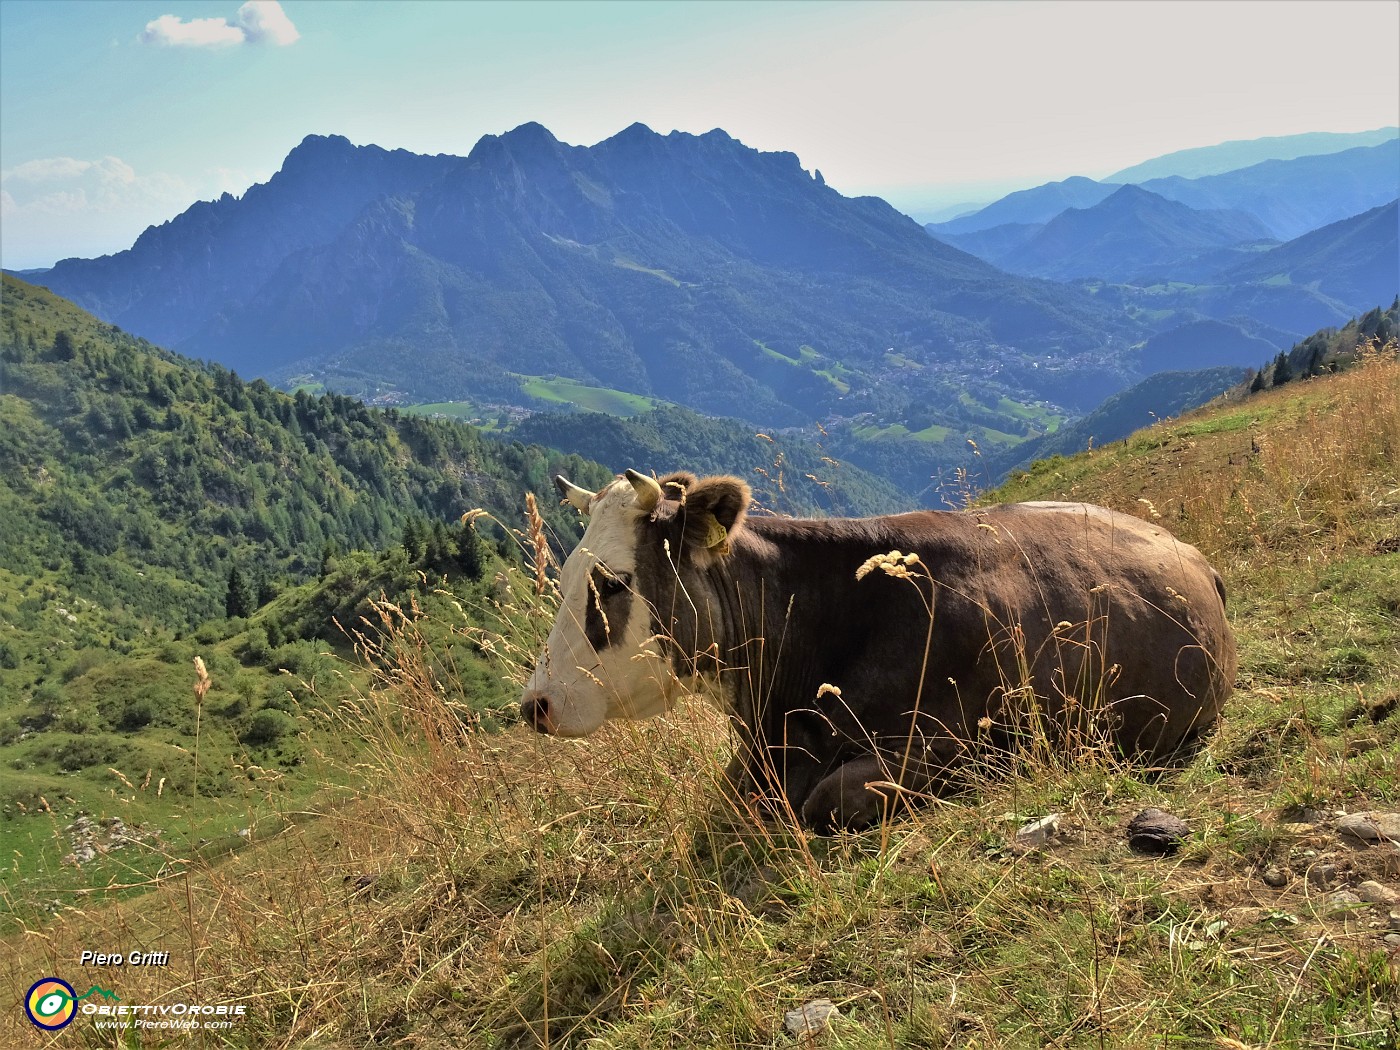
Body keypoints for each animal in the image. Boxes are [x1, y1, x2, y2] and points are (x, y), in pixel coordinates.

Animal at [526, 473, 1237, 834]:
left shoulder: (958, 742)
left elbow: (827, 800)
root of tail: (1192, 552)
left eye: (613, 584)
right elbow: (734, 793)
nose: (536, 703)